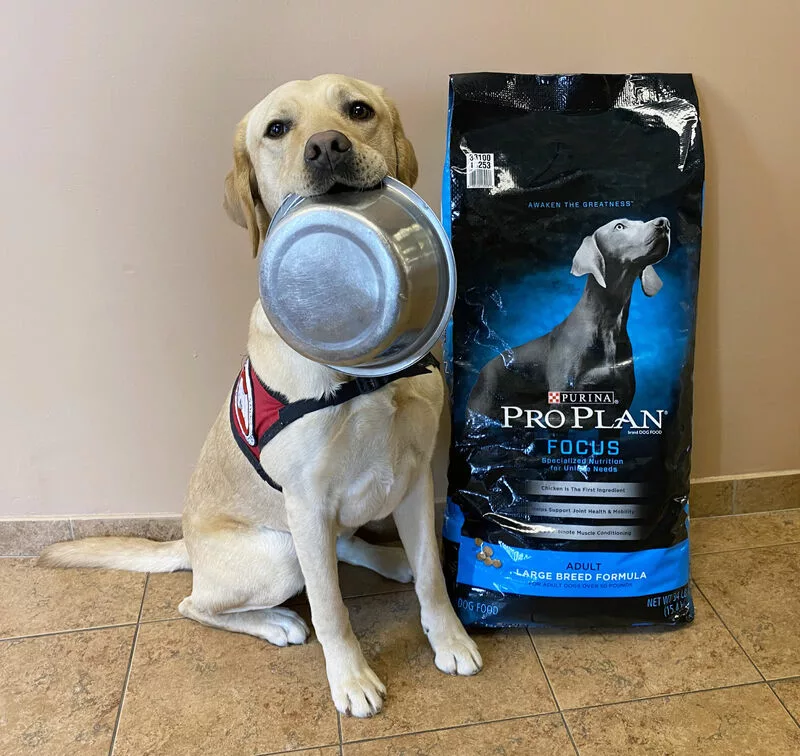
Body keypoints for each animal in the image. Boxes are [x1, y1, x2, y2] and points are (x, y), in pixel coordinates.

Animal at [40, 77, 482, 720]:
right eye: (277, 129)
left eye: (358, 110)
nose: (327, 146)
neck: (359, 378)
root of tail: (188, 545)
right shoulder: (306, 500)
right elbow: (330, 609)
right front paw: (350, 679)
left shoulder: (418, 475)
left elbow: (431, 578)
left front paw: (449, 639)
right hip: (280, 550)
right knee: (200, 604)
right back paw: (275, 623)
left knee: (346, 548)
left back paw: (388, 558)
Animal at [466, 217, 672, 426]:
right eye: (619, 226)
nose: (664, 223)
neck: (608, 324)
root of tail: (482, 370)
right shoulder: (561, 413)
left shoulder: (614, 415)